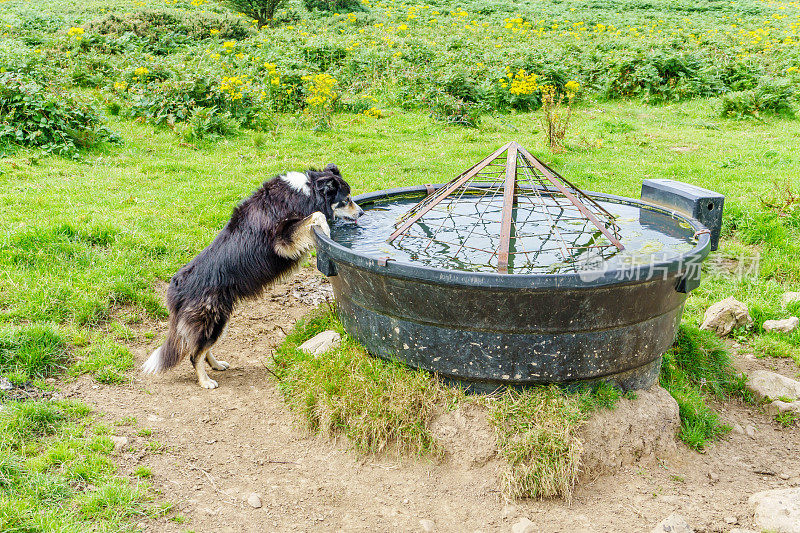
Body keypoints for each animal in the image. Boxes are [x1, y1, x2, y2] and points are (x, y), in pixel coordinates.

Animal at [142, 164, 360, 388]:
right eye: (347, 199)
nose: (361, 212)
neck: (306, 191)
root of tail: (176, 288)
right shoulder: (282, 240)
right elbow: (317, 215)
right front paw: (326, 231)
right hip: (211, 319)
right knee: (195, 354)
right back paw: (205, 381)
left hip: (219, 321)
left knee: (202, 349)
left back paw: (216, 365)